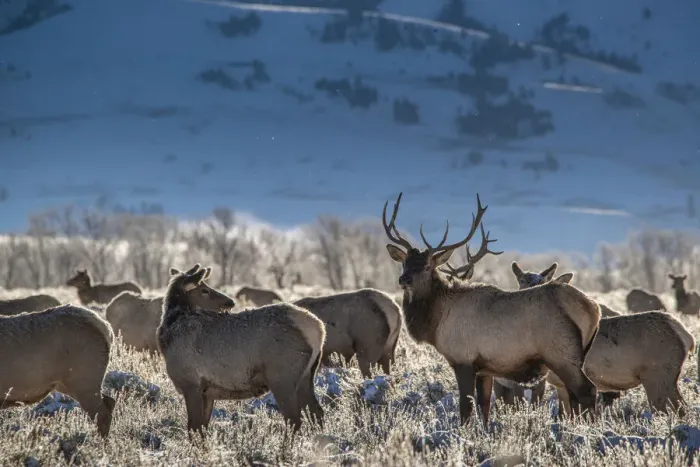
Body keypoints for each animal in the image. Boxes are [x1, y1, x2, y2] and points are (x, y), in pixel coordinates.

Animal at [382, 192, 600, 426]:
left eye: (425, 266)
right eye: (404, 263)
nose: (403, 279)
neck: (436, 322)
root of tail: (593, 309)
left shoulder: (463, 359)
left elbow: (466, 409)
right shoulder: (484, 369)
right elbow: (484, 407)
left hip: (561, 354)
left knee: (587, 390)